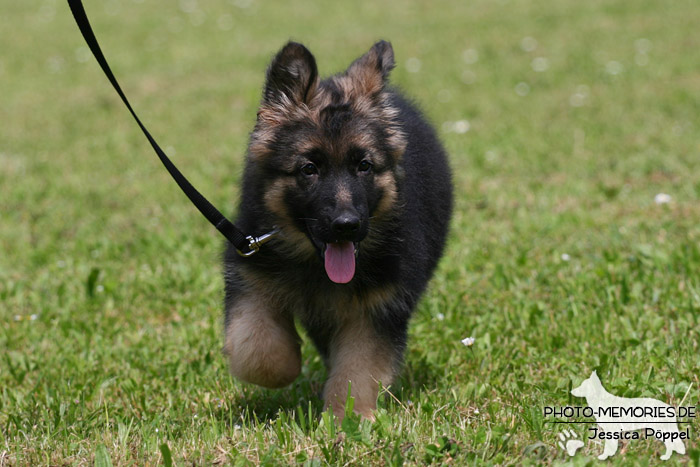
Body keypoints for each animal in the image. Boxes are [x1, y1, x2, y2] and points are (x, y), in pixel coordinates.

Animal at [224, 40, 454, 420]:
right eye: (309, 169)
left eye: (364, 166)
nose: (346, 226)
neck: (315, 266)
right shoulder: (252, 275)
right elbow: (258, 350)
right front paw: (287, 368)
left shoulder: (377, 308)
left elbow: (357, 368)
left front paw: (347, 418)